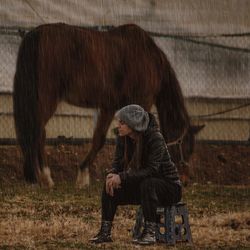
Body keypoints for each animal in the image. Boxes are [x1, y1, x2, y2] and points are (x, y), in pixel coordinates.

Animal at [12, 23, 202, 188]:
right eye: (187, 147)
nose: (186, 179)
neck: (150, 59)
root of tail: (35, 34)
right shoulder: (143, 102)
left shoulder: (109, 107)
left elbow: (100, 139)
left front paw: (84, 176)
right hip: (47, 98)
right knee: (38, 132)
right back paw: (45, 177)